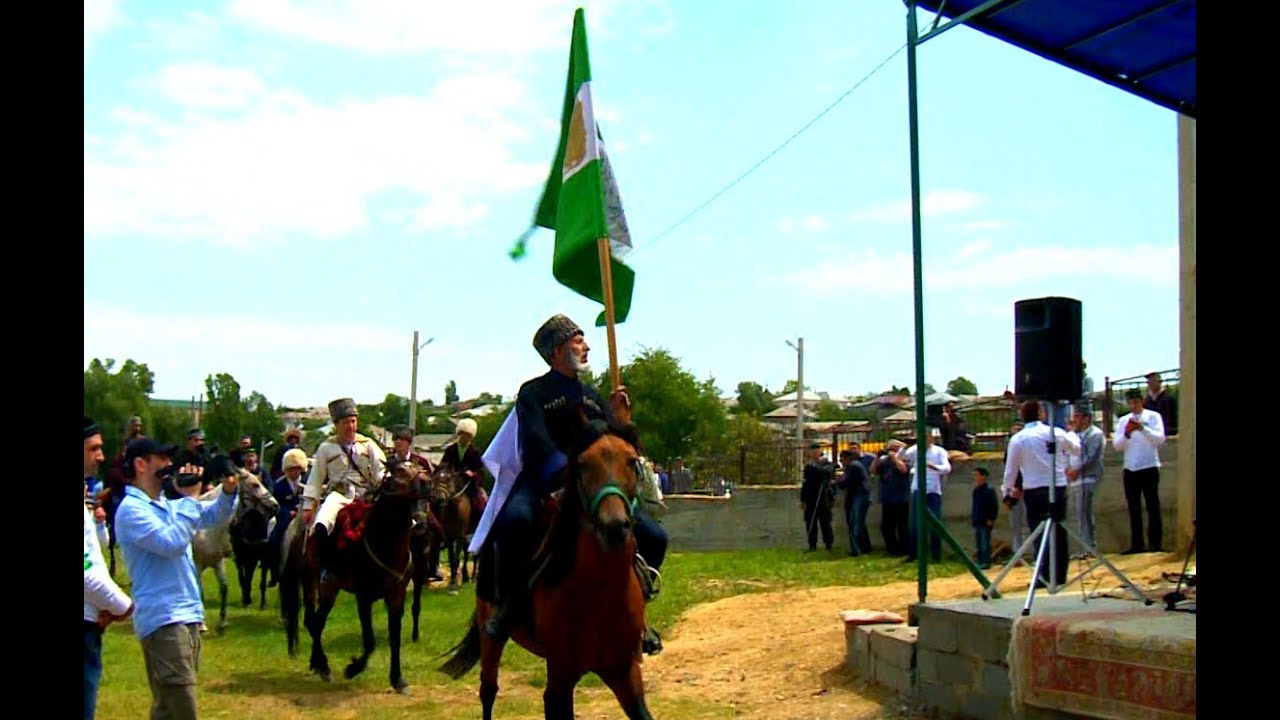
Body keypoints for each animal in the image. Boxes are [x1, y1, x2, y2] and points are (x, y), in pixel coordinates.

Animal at [280, 458, 424, 691]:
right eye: (401, 470)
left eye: (418, 466)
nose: (426, 483)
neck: (384, 542)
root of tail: (298, 528)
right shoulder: (363, 598)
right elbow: (370, 640)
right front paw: (353, 668)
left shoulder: (396, 597)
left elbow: (394, 637)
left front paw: (397, 679)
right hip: (312, 581)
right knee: (312, 621)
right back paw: (323, 666)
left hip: (327, 588)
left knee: (317, 622)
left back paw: (318, 664)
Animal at [442, 420, 660, 717]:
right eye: (582, 464)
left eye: (631, 461)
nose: (614, 527)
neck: (601, 591)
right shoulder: (560, 680)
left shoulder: (624, 671)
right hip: (491, 636)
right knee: (488, 690)